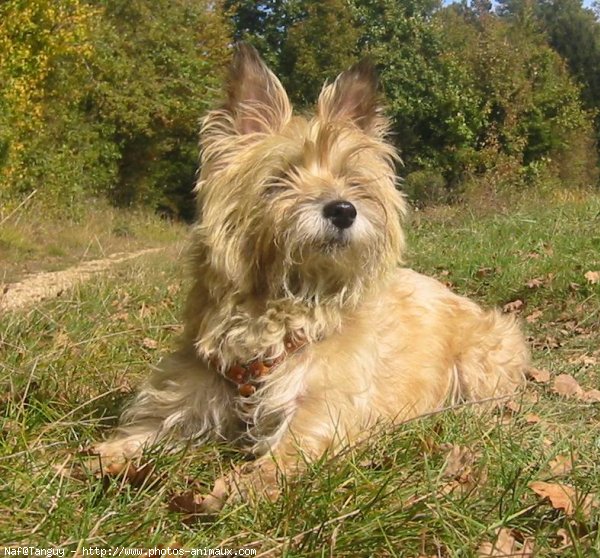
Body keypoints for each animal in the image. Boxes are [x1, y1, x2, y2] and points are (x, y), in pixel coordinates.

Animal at [92, 46, 524, 516]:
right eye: (281, 177)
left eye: (353, 179)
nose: (343, 209)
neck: (283, 306)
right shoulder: (190, 393)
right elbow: (152, 427)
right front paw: (105, 455)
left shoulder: (323, 408)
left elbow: (288, 451)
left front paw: (241, 486)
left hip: (484, 356)